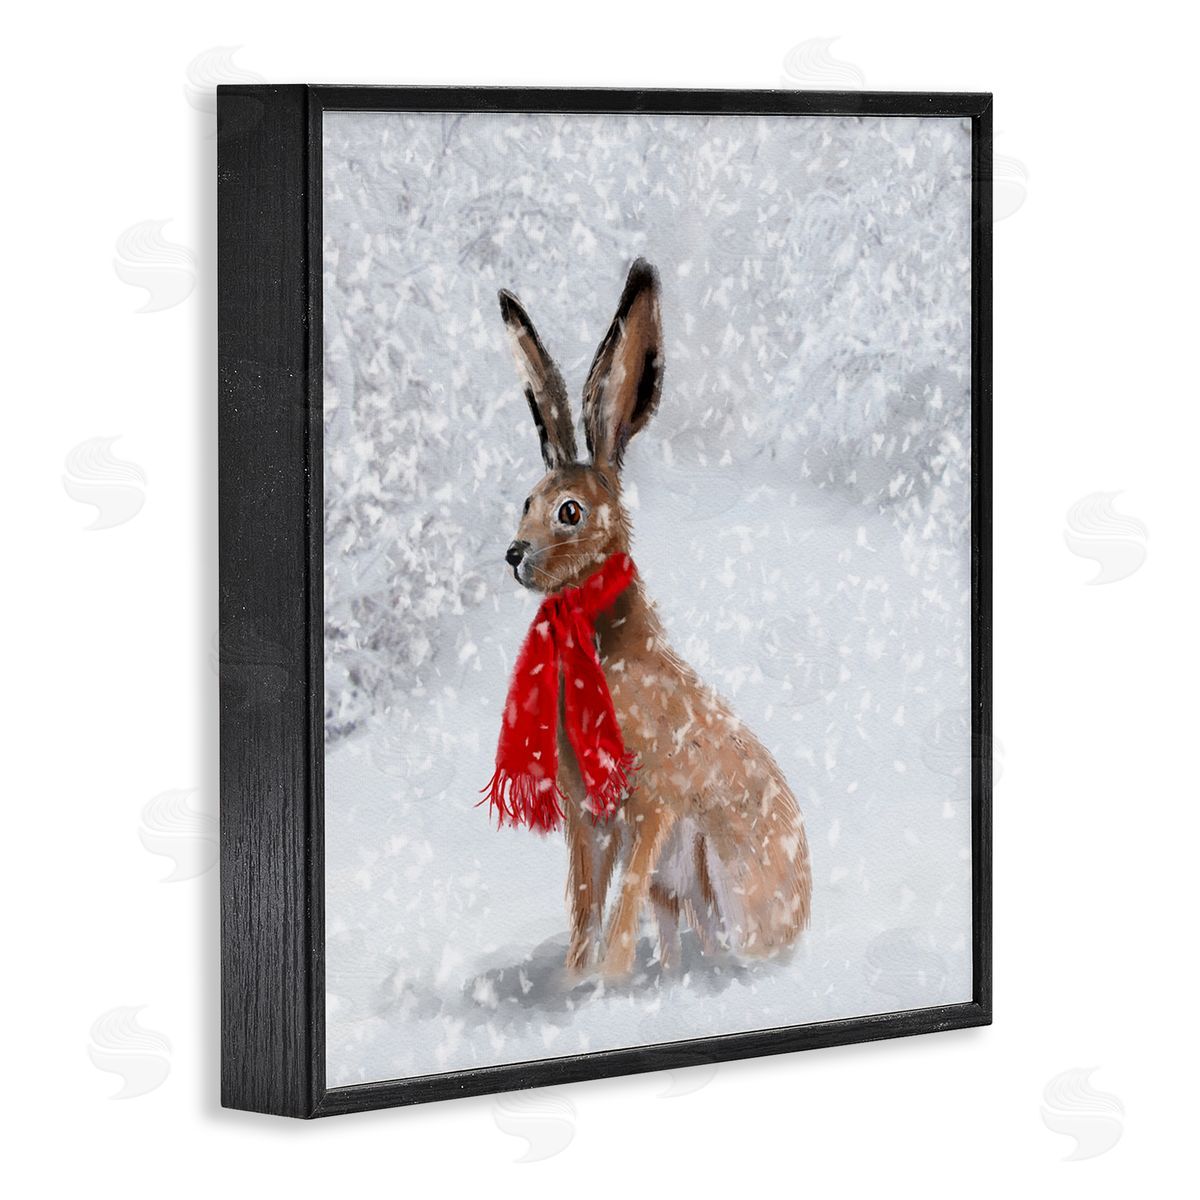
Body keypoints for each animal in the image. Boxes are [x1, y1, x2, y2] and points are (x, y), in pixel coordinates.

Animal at [497, 258, 812, 979]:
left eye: (569, 512)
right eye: (526, 500)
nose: (514, 554)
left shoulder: (653, 804)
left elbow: (617, 913)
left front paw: (604, 982)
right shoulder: (588, 819)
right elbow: (587, 906)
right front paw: (577, 981)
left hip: (713, 864)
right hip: (683, 886)